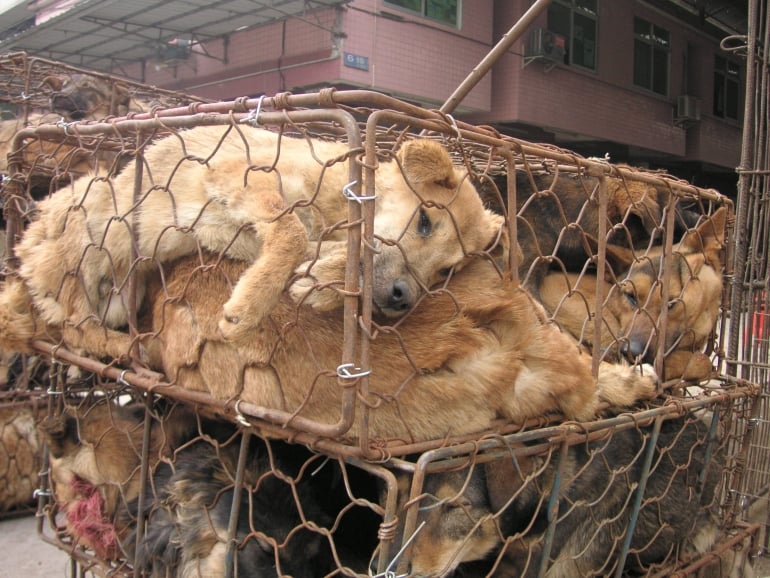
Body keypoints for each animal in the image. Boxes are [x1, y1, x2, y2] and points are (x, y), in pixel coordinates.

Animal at [6, 126, 508, 358]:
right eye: (424, 221)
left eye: (447, 271)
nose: (403, 298)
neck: (337, 200)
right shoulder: (242, 177)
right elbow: (293, 234)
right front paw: (250, 307)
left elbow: (319, 249)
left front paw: (324, 280)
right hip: (89, 224)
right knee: (73, 325)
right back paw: (126, 349)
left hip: (121, 288)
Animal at [536, 205, 724, 380]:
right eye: (630, 296)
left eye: (670, 304)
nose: (630, 352)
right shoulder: (557, 288)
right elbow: (702, 360)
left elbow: (703, 360)